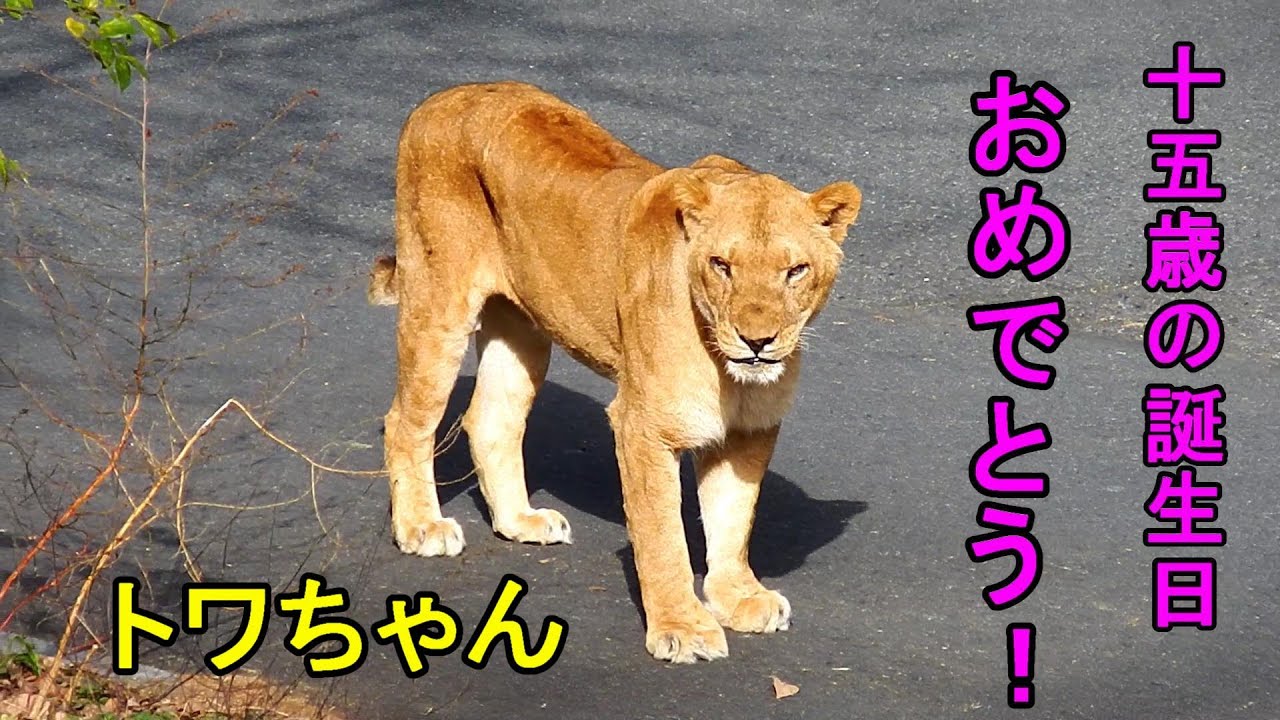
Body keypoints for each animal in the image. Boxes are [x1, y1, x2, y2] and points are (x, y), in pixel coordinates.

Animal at [369, 82, 861, 663]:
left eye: (795, 271)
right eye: (722, 265)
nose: (757, 341)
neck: (725, 369)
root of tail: (443, 96)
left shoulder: (749, 430)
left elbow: (734, 517)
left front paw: (737, 597)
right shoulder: (642, 426)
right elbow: (663, 534)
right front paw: (682, 628)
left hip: (524, 330)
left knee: (490, 418)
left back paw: (520, 521)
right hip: (438, 302)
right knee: (405, 420)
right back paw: (421, 526)